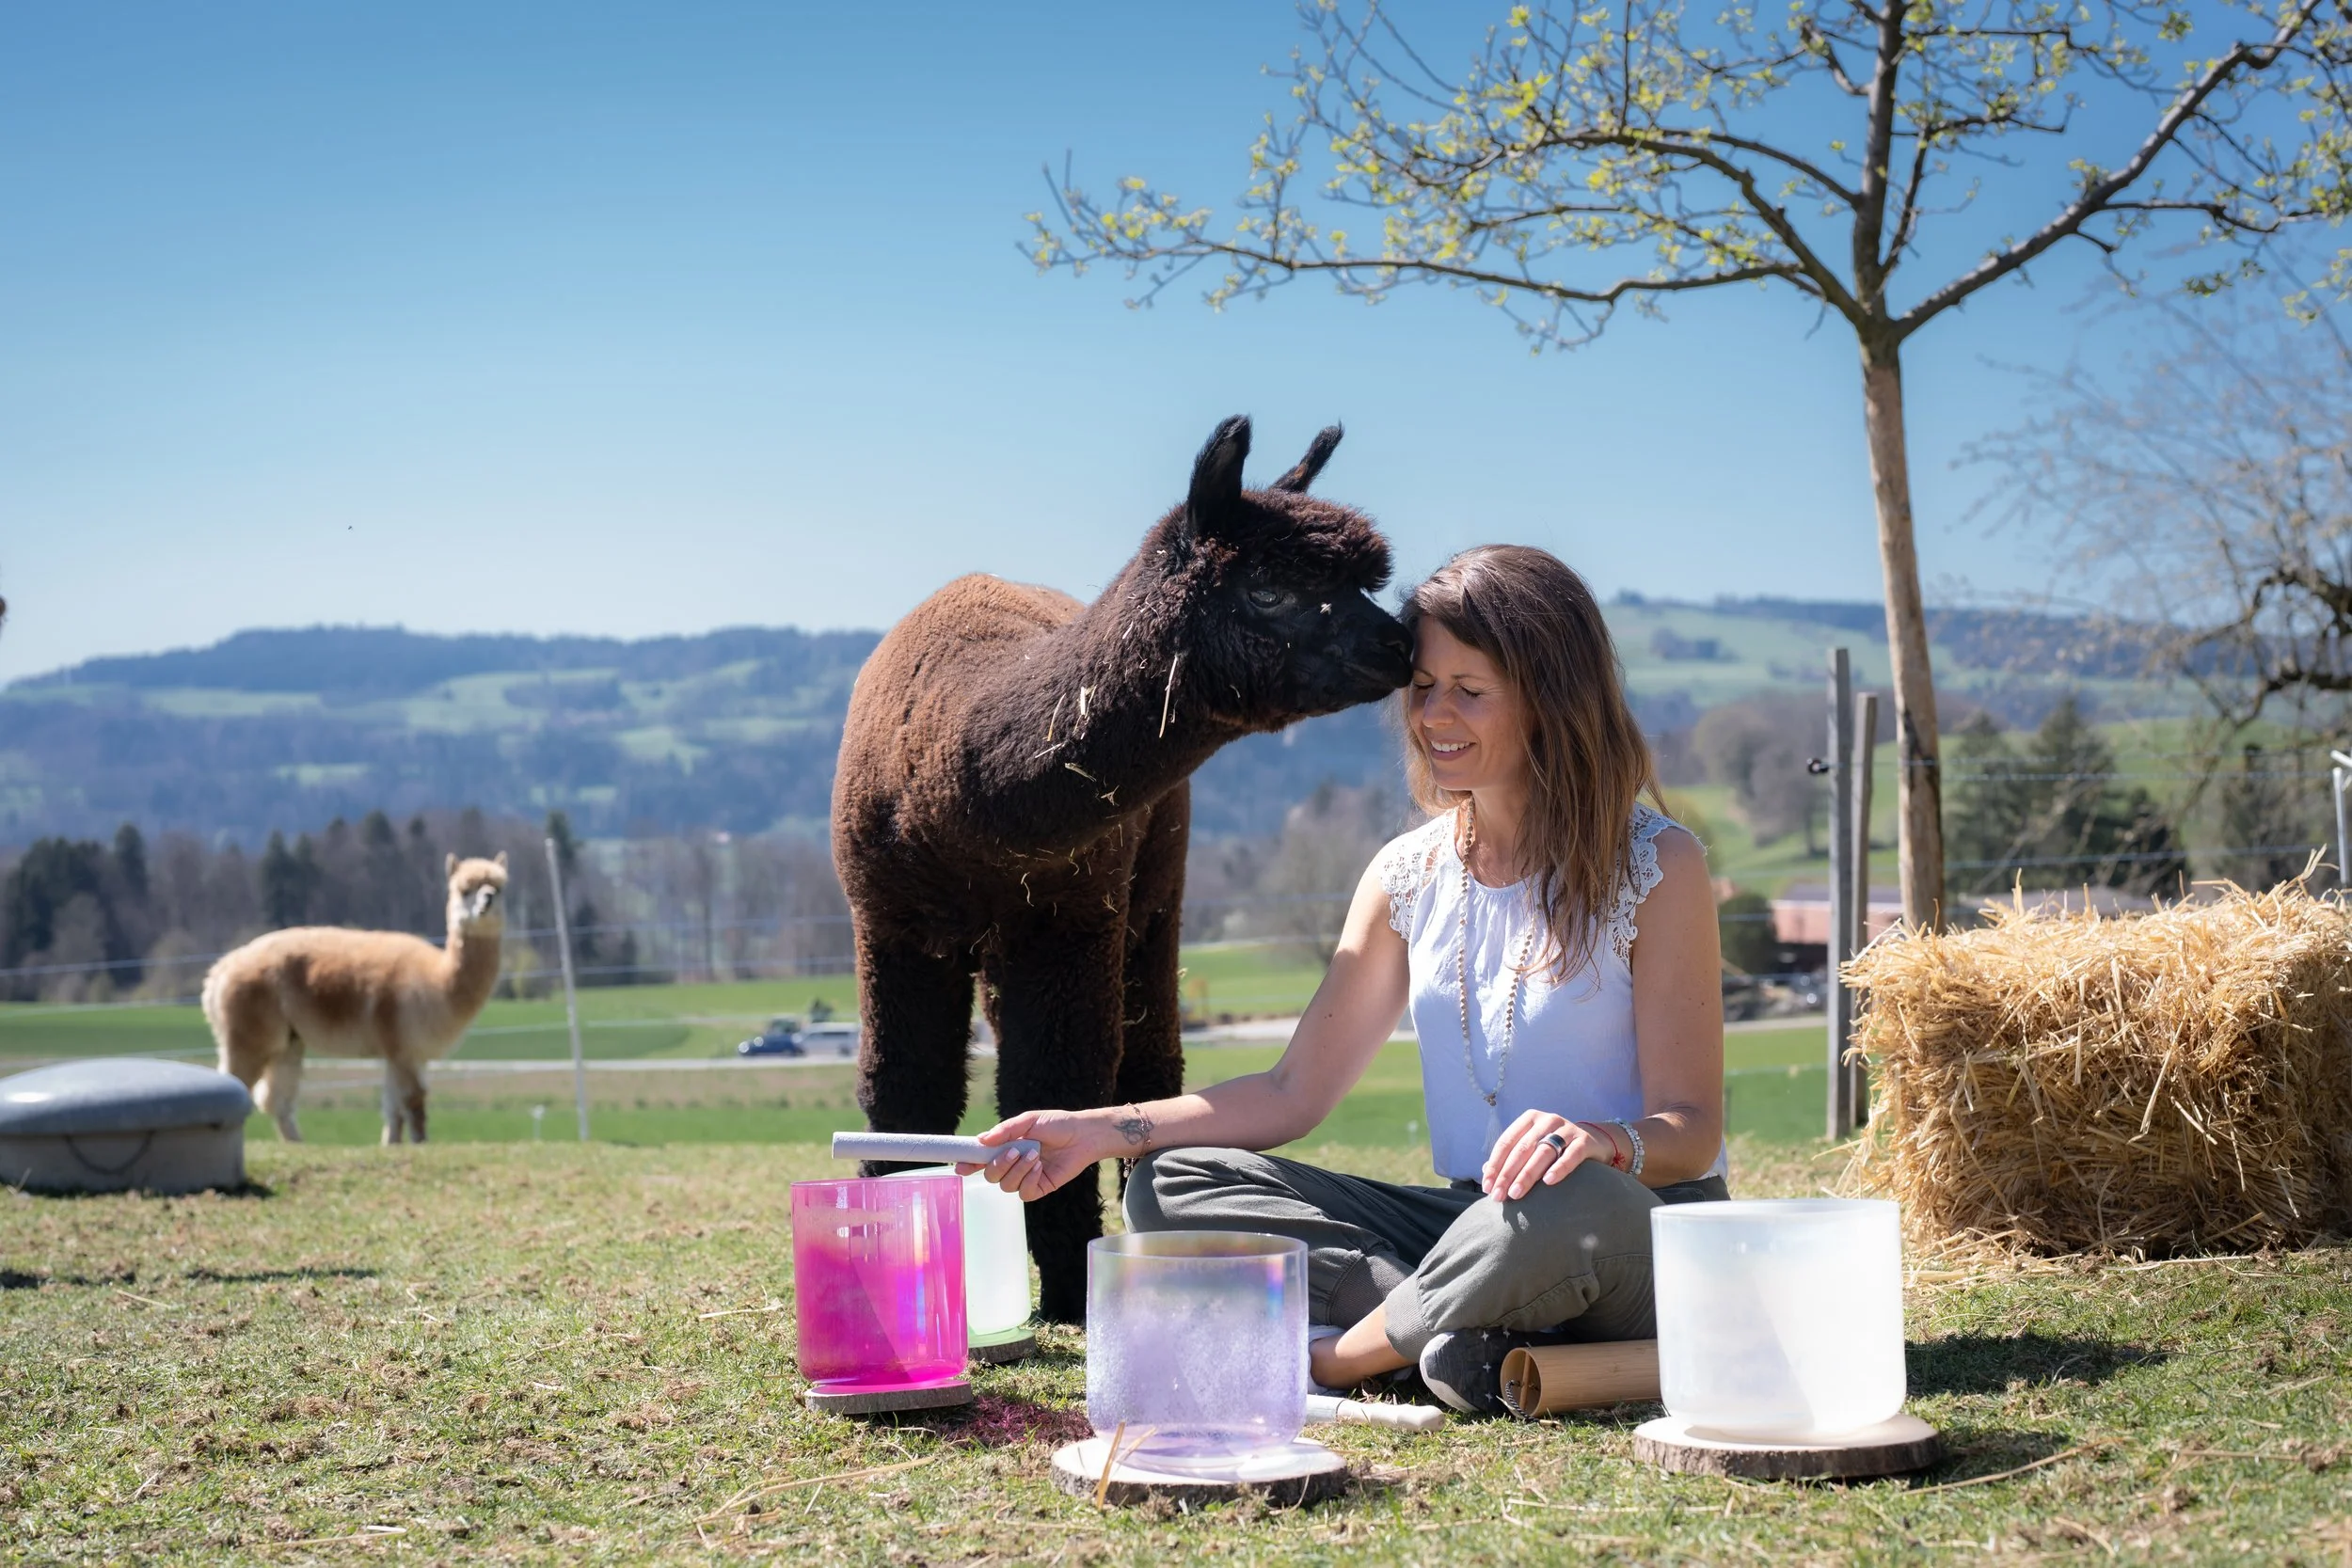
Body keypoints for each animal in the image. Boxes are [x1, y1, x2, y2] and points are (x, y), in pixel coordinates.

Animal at [204, 853, 508, 1144]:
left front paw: (391, 1144)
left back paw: (298, 1145)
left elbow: (394, 1107)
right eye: (465, 890)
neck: (437, 979)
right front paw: (420, 1144)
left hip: (287, 1041)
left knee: (275, 1098)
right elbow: (413, 1102)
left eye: (499, 887)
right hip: (249, 1031)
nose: (488, 899)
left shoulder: (405, 1051)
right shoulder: (403, 1046)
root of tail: (219, 972)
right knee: (238, 1084)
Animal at [832, 416, 1413, 1320]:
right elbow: (905, 1087)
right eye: (1270, 587)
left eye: (1361, 583)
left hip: (1150, 896)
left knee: (1145, 1064)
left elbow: (1058, 1084)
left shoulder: (1070, 917)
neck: (960, 795)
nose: (1401, 640)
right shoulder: (891, 922)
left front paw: (1071, 1289)